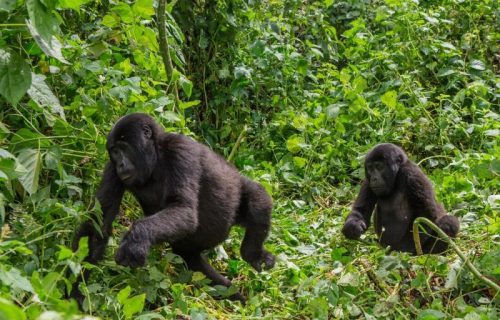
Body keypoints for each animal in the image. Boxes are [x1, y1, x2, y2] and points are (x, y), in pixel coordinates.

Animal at [72, 113, 276, 302]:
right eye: (114, 152)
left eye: (123, 149)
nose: (121, 164)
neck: (156, 155)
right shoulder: (112, 168)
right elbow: (98, 223)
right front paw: (74, 291)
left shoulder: (179, 150)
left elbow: (183, 208)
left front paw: (136, 239)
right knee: (191, 259)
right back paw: (229, 291)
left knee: (257, 197)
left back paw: (253, 254)